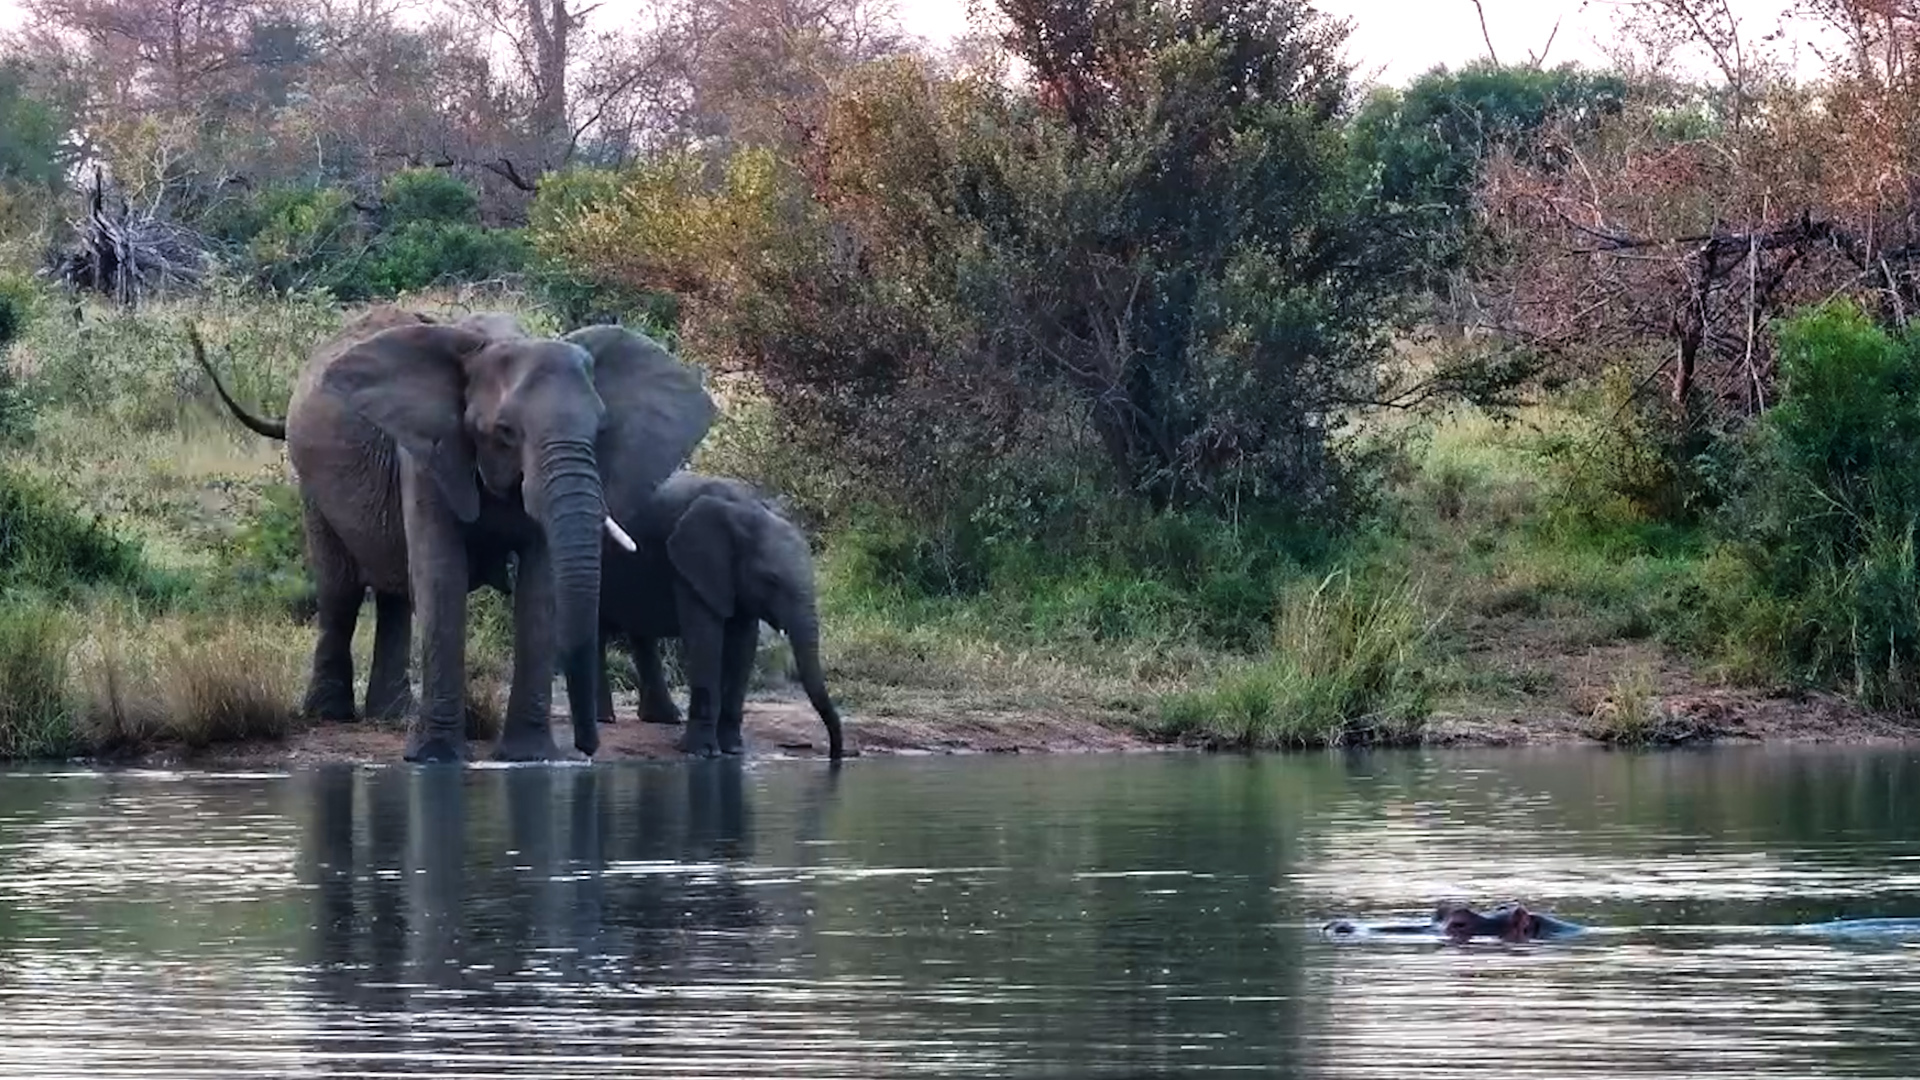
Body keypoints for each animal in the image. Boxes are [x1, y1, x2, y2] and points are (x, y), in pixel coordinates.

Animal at [192, 308, 716, 763]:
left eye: (601, 429)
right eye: (504, 431)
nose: (589, 748)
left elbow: (539, 587)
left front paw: (529, 758)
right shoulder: (429, 454)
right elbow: (442, 575)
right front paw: (435, 759)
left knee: (396, 593)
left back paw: (392, 716)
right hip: (312, 486)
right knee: (341, 591)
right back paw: (331, 715)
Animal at [593, 472, 846, 761]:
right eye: (770, 580)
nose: (834, 755)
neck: (748, 509)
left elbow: (743, 644)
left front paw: (733, 749)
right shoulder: (692, 564)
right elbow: (706, 639)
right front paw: (703, 752)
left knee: (642, 634)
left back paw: (664, 719)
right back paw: (605, 719)